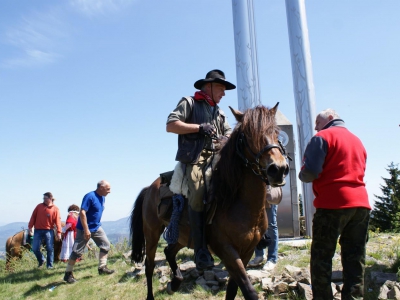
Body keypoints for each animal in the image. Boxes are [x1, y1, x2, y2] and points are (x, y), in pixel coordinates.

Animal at [130, 103, 290, 300]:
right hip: (152, 232)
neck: (237, 201)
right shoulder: (227, 250)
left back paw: (175, 282)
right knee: (149, 265)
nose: (278, 169)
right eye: (247, 135)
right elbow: (248, 291)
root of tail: (150, 187)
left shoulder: (247, 251)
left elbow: (232, 289)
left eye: (276, 132)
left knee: (169, 251)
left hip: (184, 236)